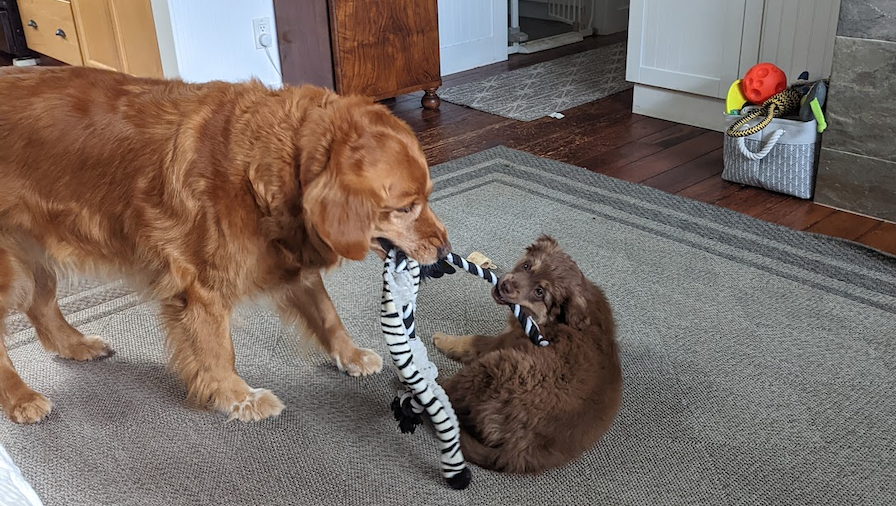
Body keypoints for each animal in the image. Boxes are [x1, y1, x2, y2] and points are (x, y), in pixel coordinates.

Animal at [0, 66, 448, 422]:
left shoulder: (289, 259)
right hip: (10, 269)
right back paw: (21, 399)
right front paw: (237, 397)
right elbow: (218, 352)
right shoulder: (202, 289)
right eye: (405, 208)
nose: (445, 250)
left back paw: (75, 345)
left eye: (428, 196)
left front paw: (350, 355)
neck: (265, 165)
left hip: (32, 257)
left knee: (41, 306)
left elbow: (327, 314)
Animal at [436, 237, 624, 474]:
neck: (556, 319)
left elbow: (473, 340)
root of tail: (519, 452)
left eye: (540, 292)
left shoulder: (503, 341)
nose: (505, 285)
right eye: (526, 266)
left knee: (450, 393)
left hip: (495, 366)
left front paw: (442, 339)